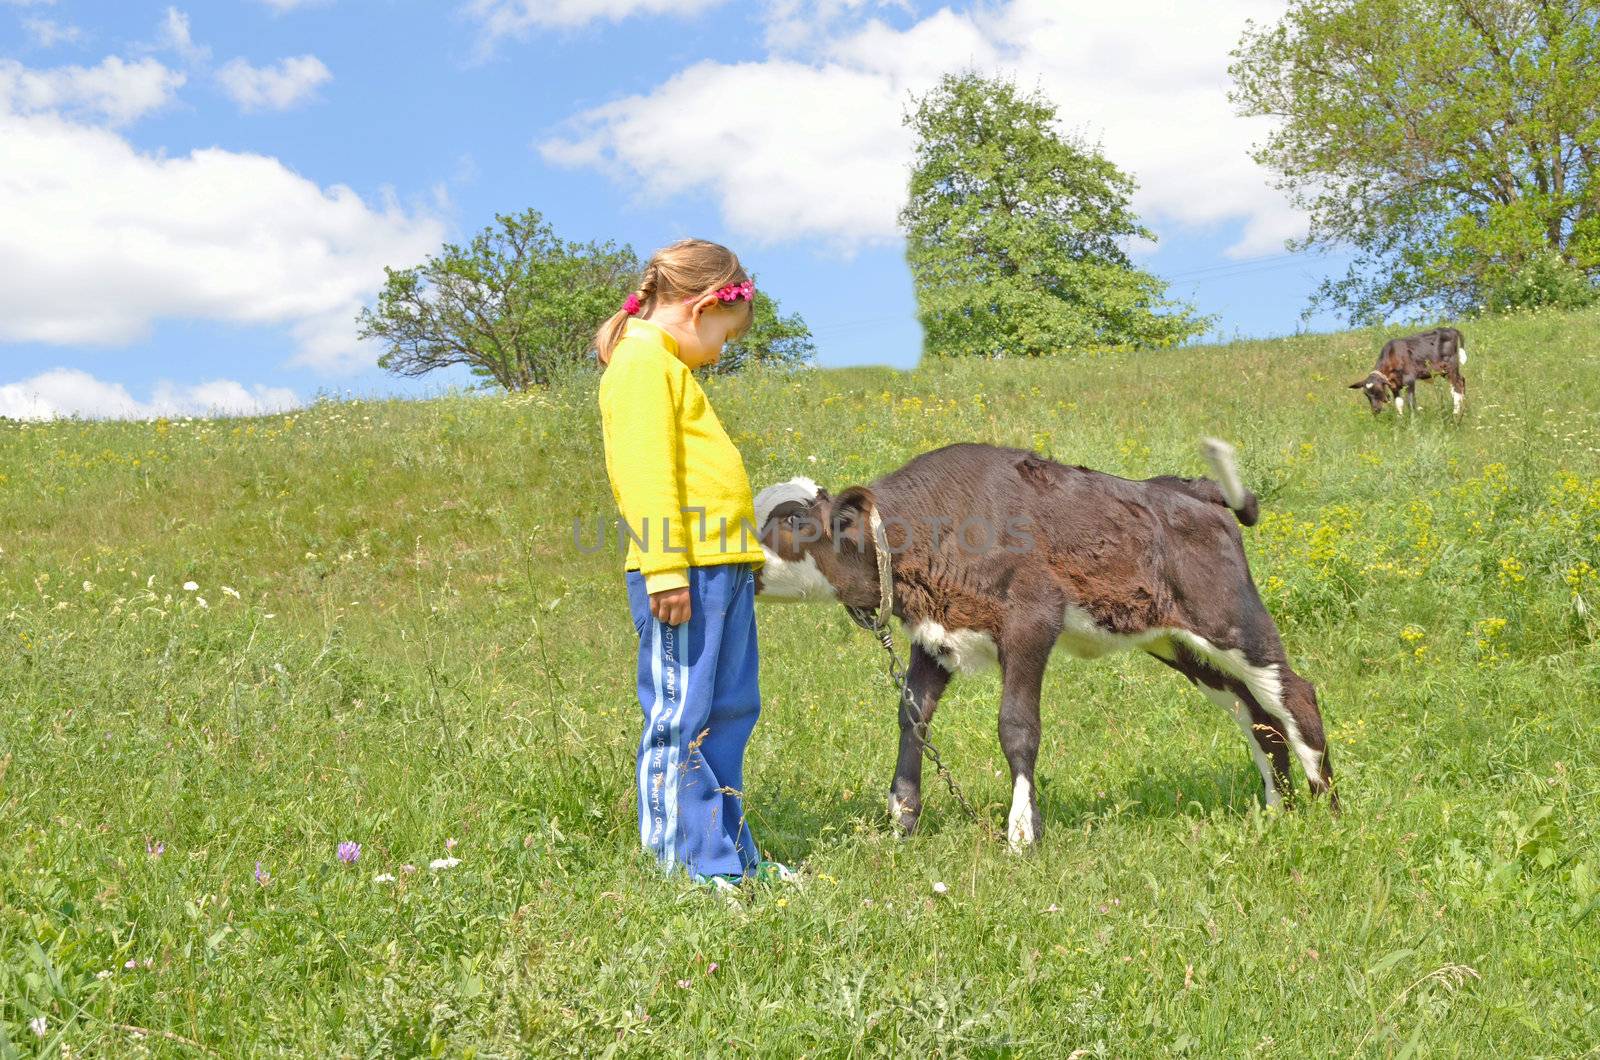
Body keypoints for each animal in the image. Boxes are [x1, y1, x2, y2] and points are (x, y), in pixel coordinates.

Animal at [748, 441, 1337, 858]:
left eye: (793, 520)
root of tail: (1188, 489)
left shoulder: (1032, 621)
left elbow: (1017, 727)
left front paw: (1023, 834)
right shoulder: (933, 637)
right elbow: (913, 715)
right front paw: (902, 820)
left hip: (1231, 621)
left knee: (1295, 692)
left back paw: (1324, 806)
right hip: (1178, 641)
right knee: (1254, 710)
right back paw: (1276, 808)